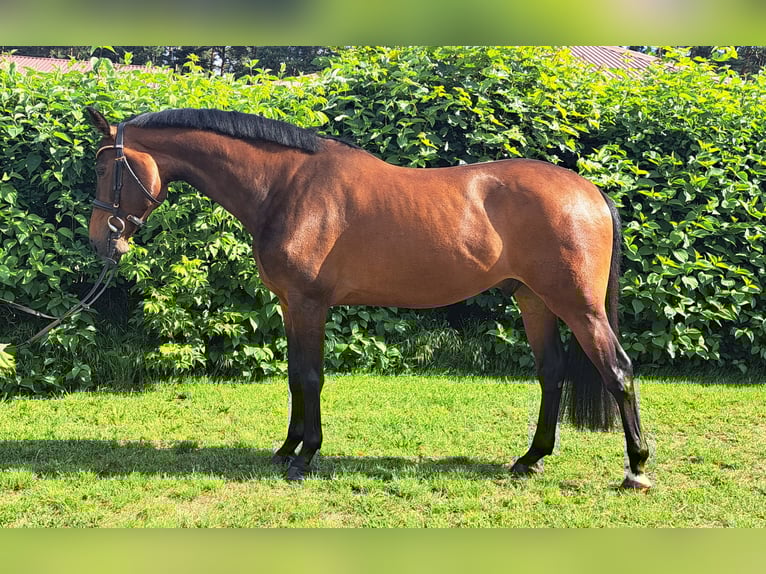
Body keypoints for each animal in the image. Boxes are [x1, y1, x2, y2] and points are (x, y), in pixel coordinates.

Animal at [84, 106, 651, 488]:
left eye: (105, 169)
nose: (98, 239)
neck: (287, 186)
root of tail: (591, 191)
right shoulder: (290, 305)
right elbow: (295, 377)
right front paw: (286, 448)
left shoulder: (309, 303)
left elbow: (310, 377)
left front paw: (304, 457)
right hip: (533, 300)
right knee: (551, 373)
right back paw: (529, 460)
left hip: (578, 306)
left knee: (618, 371)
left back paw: (637, 468)